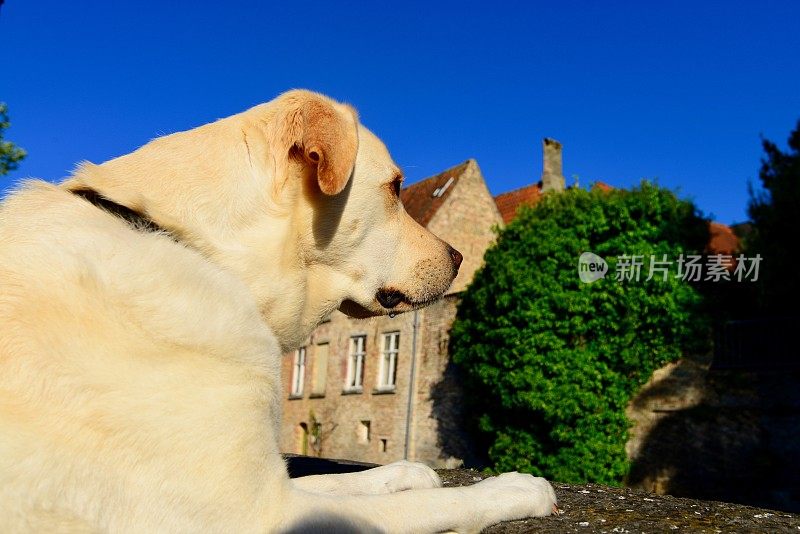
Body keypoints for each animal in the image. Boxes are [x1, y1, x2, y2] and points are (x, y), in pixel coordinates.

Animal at [0, 90, 556, 532]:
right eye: (396, 187)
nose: (459, 258)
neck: (198, 248)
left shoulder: (273, 483)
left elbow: (335, 479)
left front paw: (406, 471)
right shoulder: (261, 514)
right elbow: (435, 506)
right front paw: (512, 489)